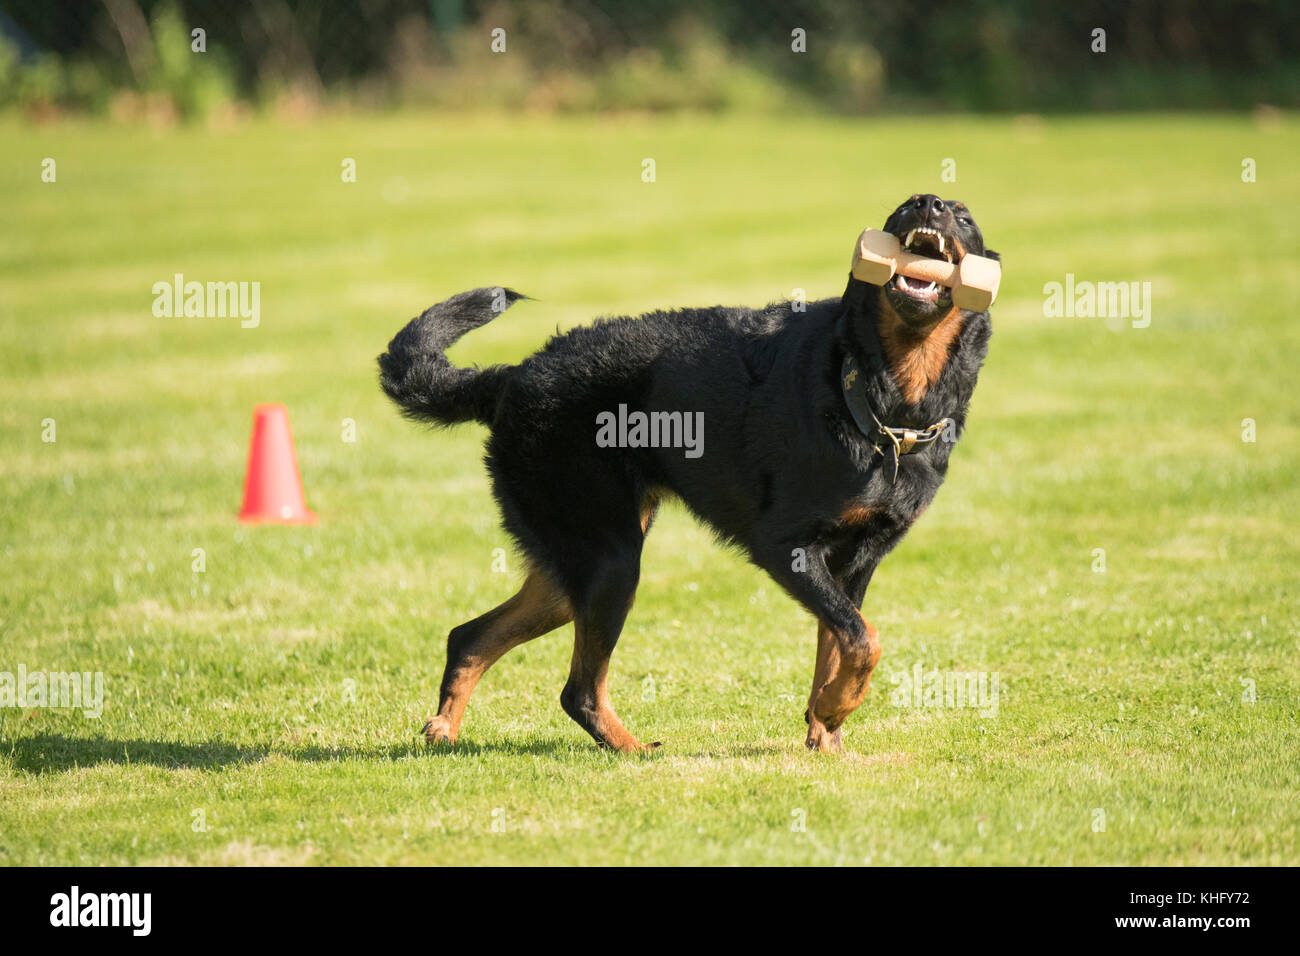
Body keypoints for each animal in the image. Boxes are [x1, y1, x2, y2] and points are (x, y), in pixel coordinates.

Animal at [379, 191, 998, 749]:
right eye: (900, 211)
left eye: (963, 215)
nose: (928, 203)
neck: (885, 398)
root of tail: (512, 377)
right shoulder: (787, 547)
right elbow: (864, 639)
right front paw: (835, 708)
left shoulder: (855, 565)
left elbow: (840, 644)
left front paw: (827, 726)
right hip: (610, 559)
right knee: (578, 690)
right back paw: (632, 751)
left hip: (571, 567)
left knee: (470, 637)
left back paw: (443, 730)